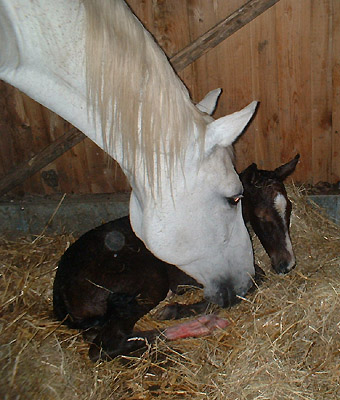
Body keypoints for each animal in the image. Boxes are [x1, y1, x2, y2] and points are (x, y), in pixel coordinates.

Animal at [51, 155, 298, 360]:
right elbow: (252, 279)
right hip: (150, 281)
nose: (287, 264)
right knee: (107, 345)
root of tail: (59, 289)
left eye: (289, 208)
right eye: (262, 216)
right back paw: (201, 323)